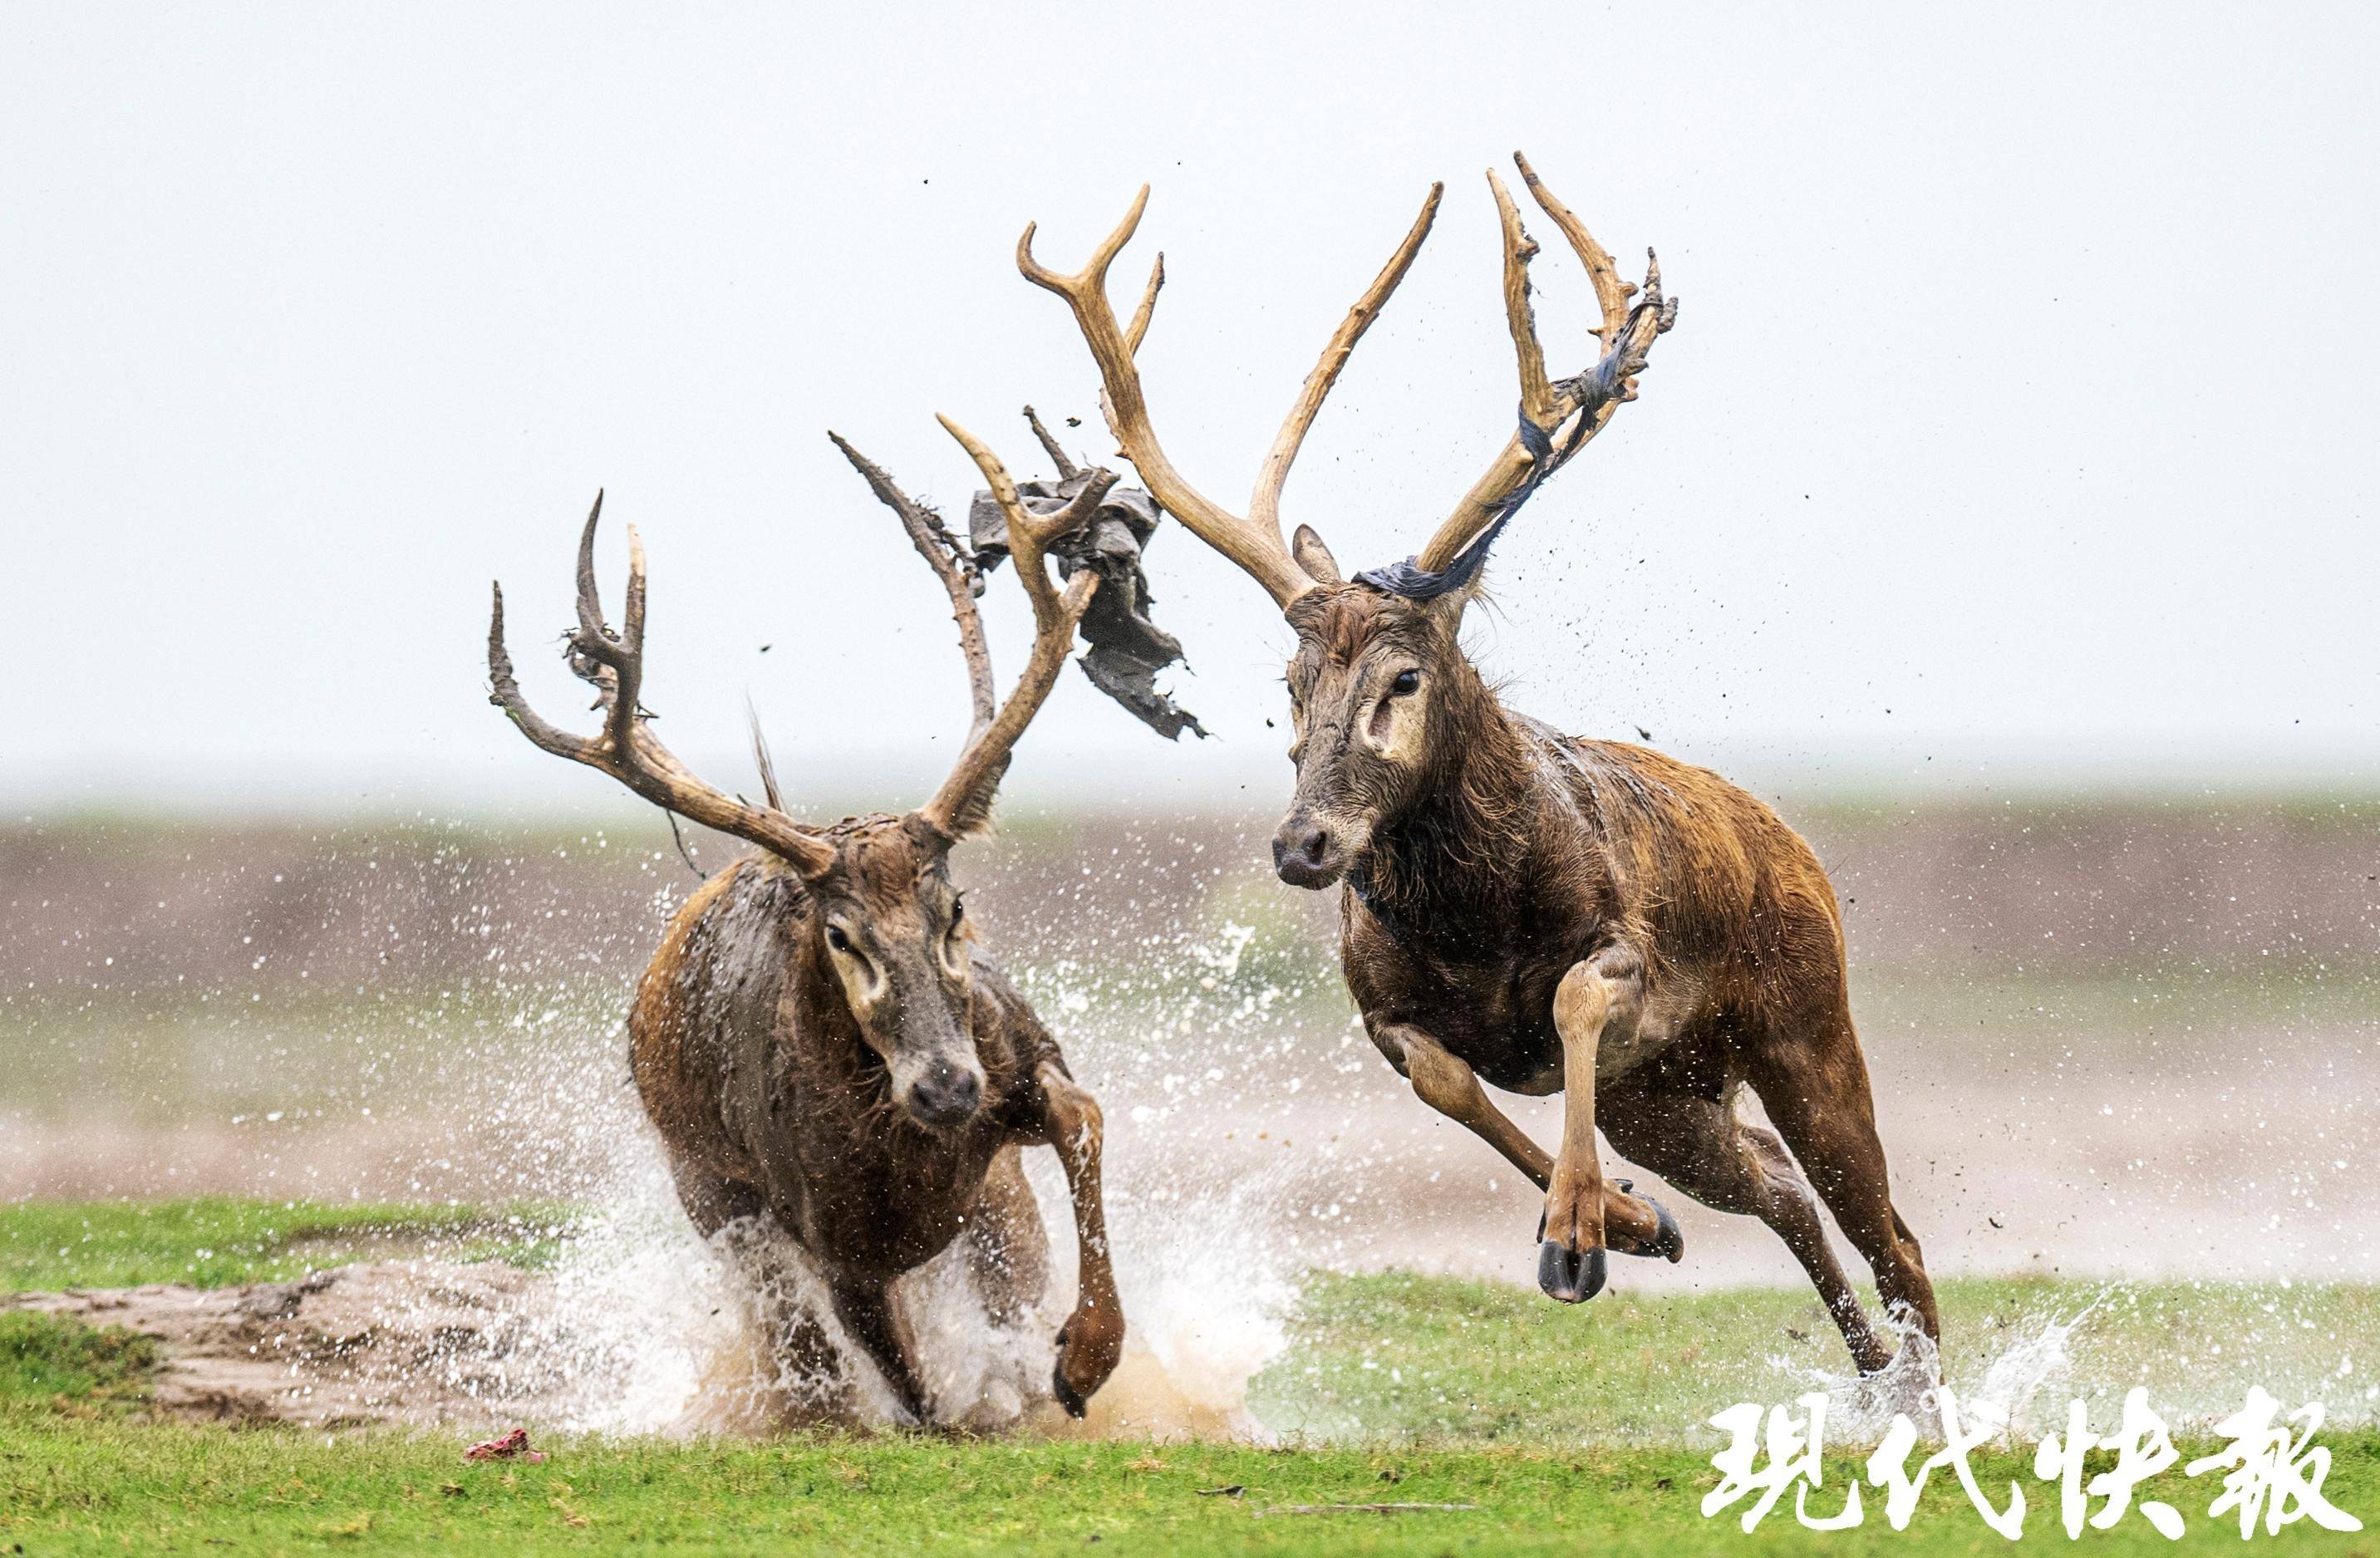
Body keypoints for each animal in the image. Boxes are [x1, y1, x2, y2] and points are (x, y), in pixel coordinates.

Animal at [488, 414, 1128, 1427]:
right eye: (838, 936)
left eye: (954, 908)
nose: (947, 1086)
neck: (900, 1151)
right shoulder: (832, 1245)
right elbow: (918, 1404)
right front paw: (1014, 1391)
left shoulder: (1014, 1078)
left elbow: (1082, 1114)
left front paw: (1087, 1356)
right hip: (711, 1193)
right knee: (798, 1346)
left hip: (990, 1208)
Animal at [1018, 152, 1932, 1369]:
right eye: (1290, 684)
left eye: (1403, 679)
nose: (1304, 844)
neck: (1474, 917)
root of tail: (1789, 844)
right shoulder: (1384, 1012)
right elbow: (1450, 1077)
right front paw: (1627, 1221)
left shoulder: (1626, 953)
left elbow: (1575, 1001)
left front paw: (1576, 1236)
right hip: (1672, 1097)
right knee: (1779, 1186)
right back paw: (1871, 1370)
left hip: (1805, 1020)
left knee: (1893, 1234)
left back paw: (1925, 1387)